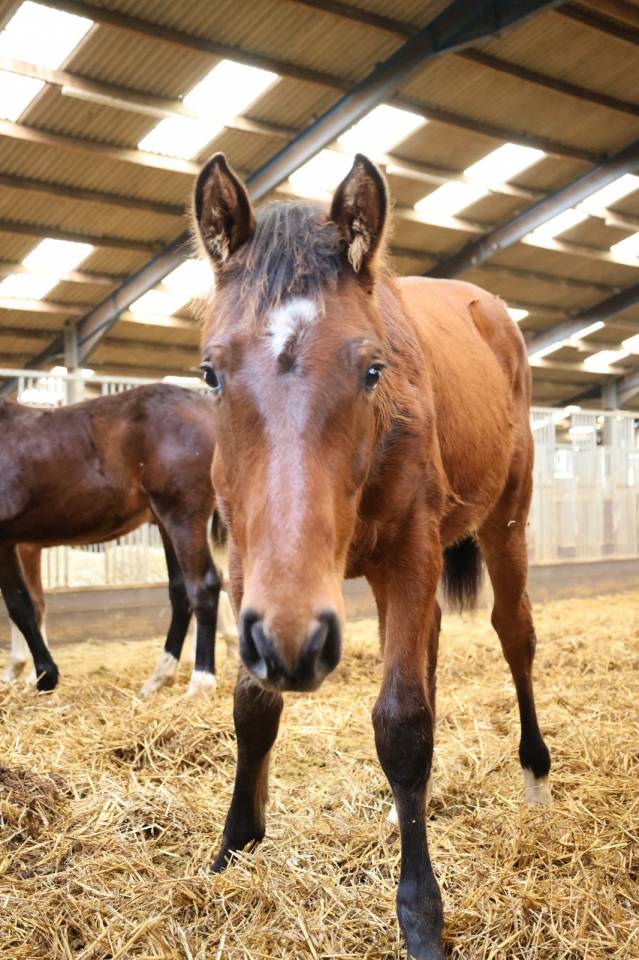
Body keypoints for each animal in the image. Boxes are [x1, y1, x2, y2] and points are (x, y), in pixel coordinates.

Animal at [0, 384, 236, 696]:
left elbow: (21, 606)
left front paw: (42, 675)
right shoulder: (11, 542)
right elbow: (22, 605)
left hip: (183, 517)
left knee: (203, 587)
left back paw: (200, 682)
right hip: (166, 522)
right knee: (181, 591)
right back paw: (159, 677)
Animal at [190, 152, 552, 959]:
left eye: (372, 371)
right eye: (210, 373)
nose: (294, 643)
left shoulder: (410, 556)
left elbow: (402, 726)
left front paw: (420, 914)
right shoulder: (248, 567)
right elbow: (253, 708)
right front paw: (232, 848)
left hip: (503, 525)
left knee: (514, 637)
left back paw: (537, 781)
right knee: (433, 649)